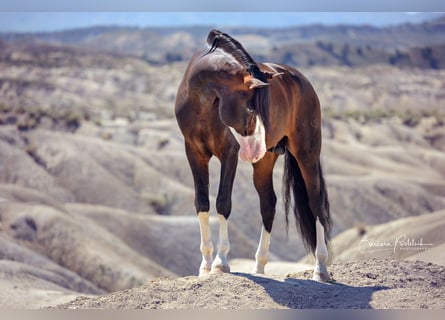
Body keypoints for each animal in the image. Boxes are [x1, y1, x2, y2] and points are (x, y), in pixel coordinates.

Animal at [173, 29, 330, 280]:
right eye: (250, 111)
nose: (256, 150)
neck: (203, 104)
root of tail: (303, 82)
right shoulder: (194, 153)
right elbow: (202, 202)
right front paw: (205, 265)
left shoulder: (229, 153)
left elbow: (223, 202)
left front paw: (220, 263)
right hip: (266, 162)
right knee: (268, 203)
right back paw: (259, 267)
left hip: (307, 153)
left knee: (316, 202)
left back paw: (320, 269)